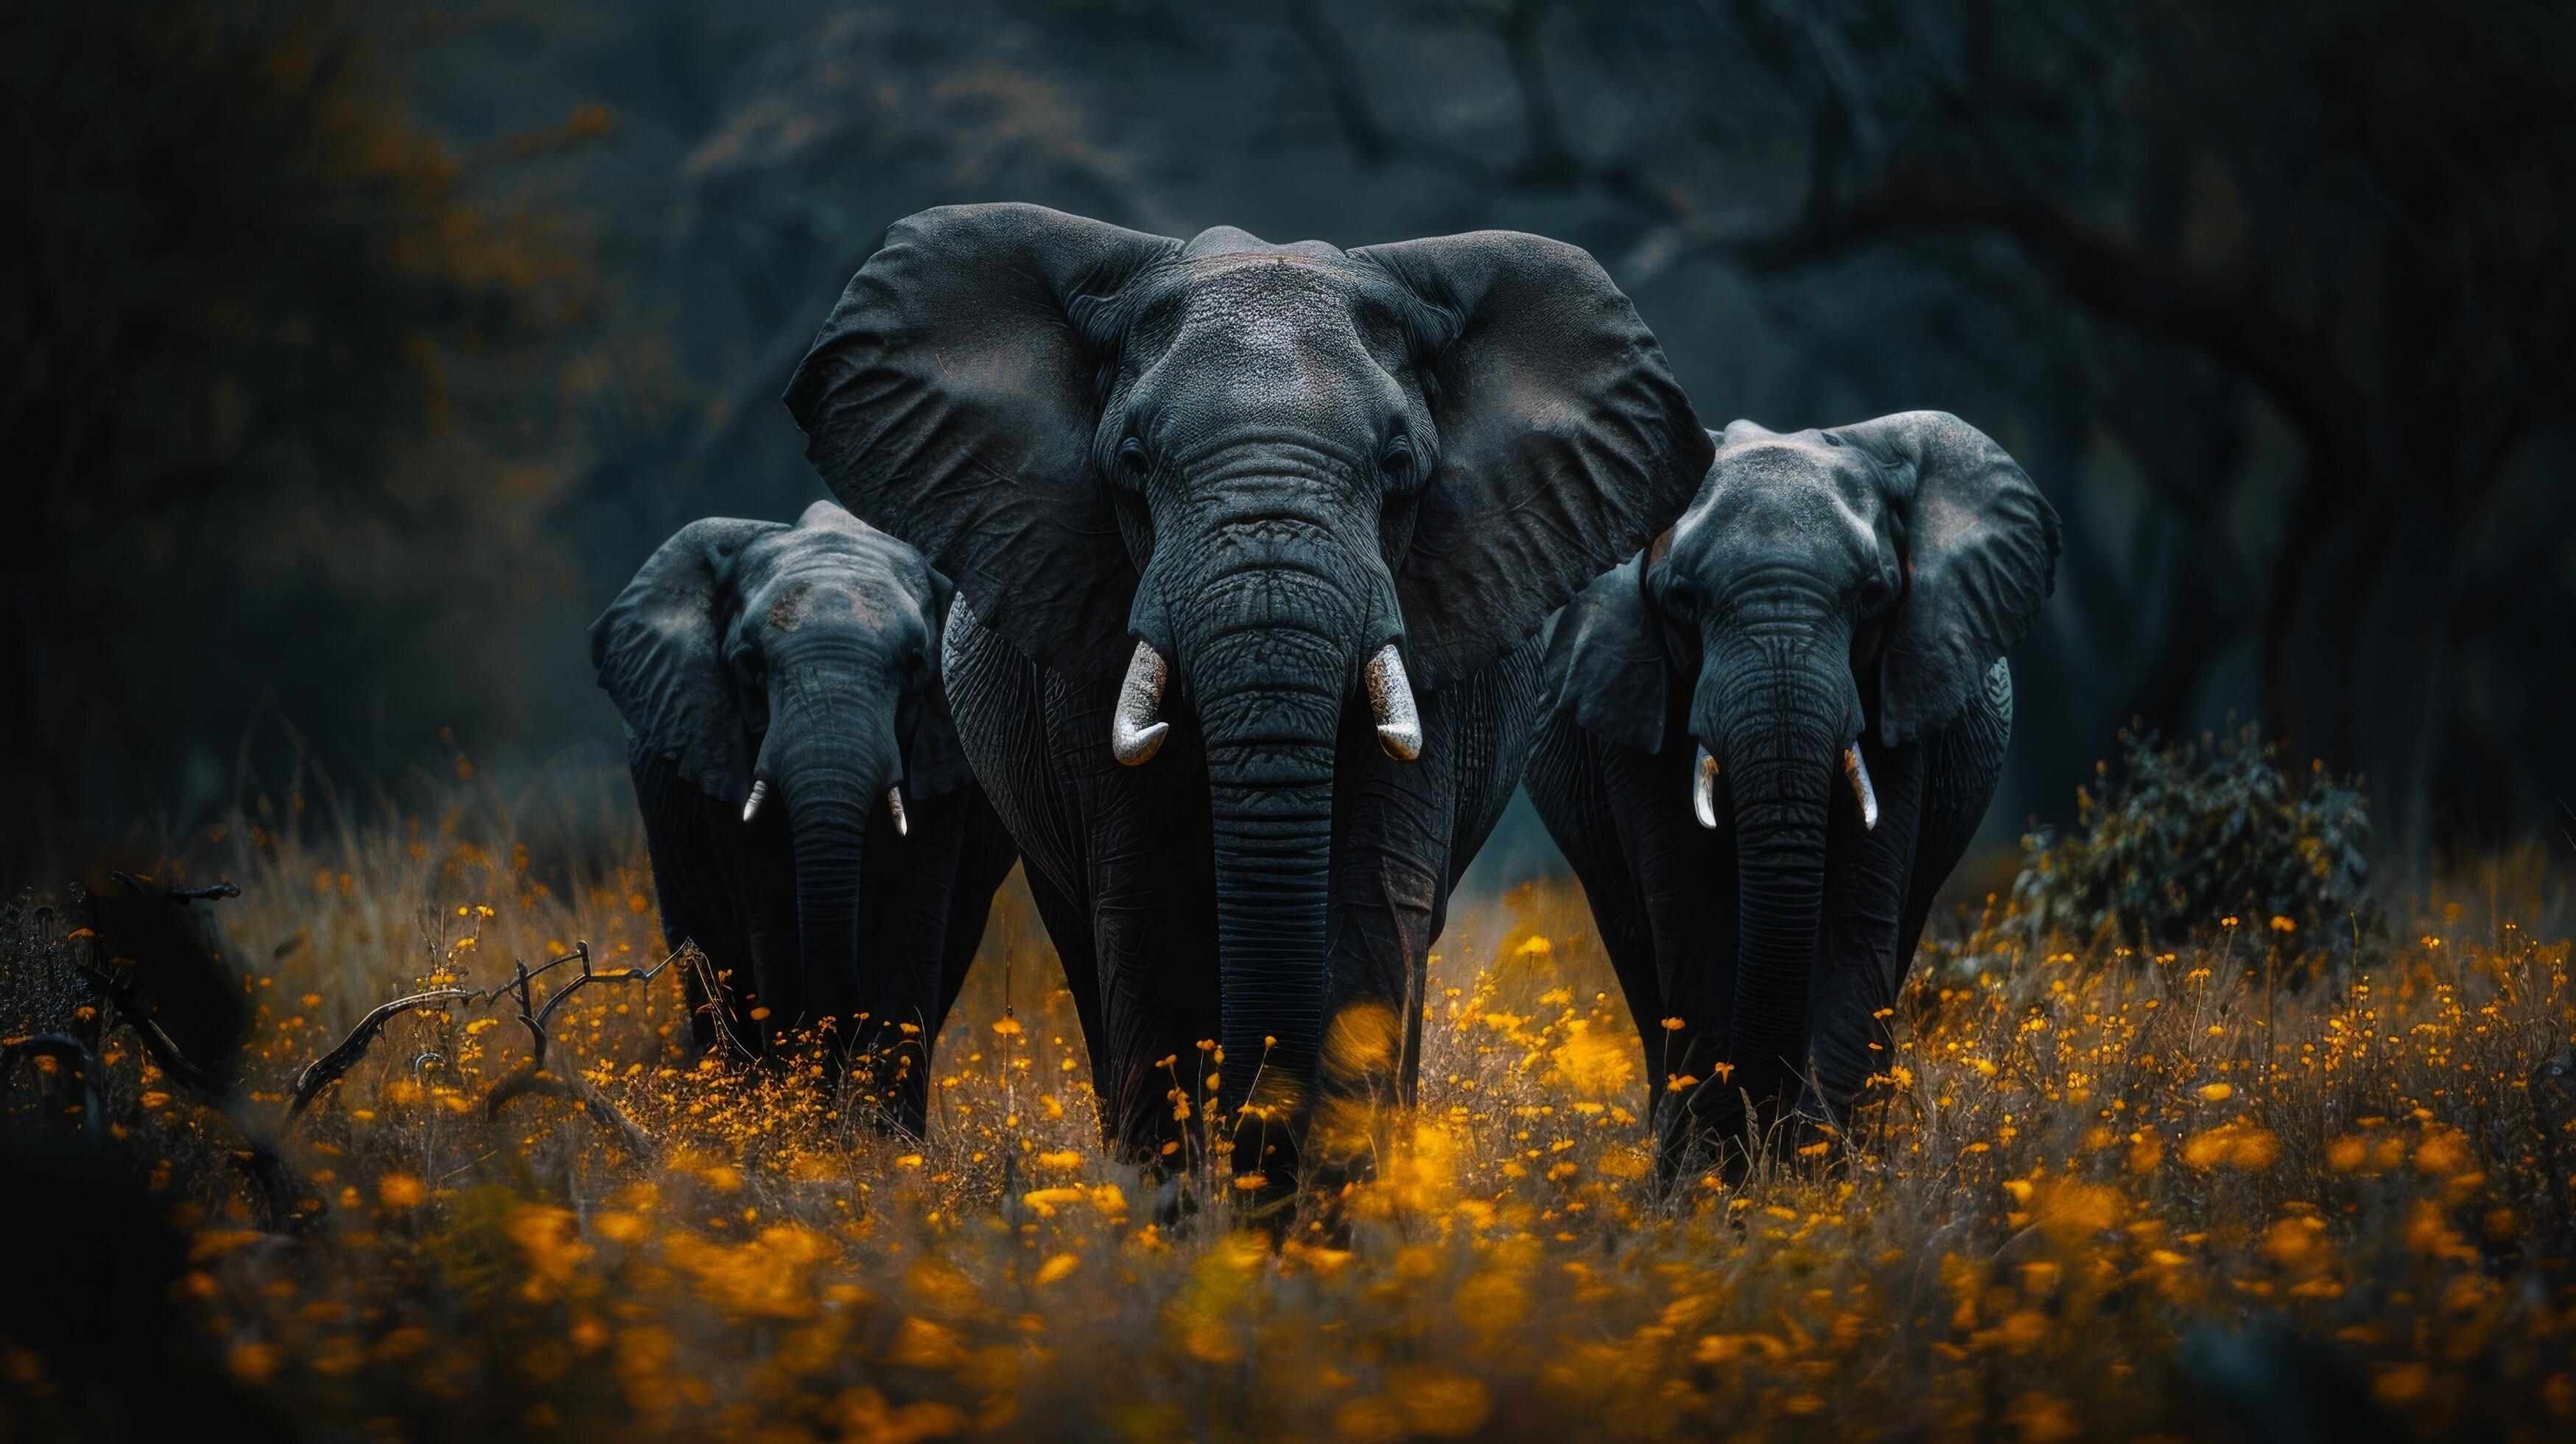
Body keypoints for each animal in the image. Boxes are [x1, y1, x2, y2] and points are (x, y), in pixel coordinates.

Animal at [592, 502, 1014, 1135]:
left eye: (916, 666)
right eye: (750, 666)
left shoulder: (944, 754)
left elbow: (909, 934)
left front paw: (878, 1149)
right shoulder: (721, 741)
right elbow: (773, 927)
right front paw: (799, 1135)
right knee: (707, 952)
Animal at [783, 206, 1710, 1186]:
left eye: (1396, 463)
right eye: (1134, 460)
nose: (1259, 1137)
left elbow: (1372, 901)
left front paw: (1320, 1207)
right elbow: (1145, 913)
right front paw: (1186, 1201)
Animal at [1525, 410, 2050, 1176]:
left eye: (1872, 596)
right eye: (1681, 599)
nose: (1763, 1125)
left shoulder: (1904, 685)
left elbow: (1857, 914)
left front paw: (1819, 1178)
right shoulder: (1627, 691)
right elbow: (1684, 910)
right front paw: (1719, 1181)